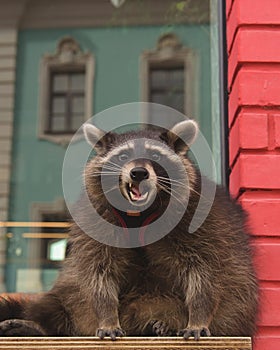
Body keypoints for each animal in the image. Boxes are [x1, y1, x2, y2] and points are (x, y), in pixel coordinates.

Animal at [0, 119, 258, 340]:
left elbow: (205, 273)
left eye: (155, 155)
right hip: (70, 293)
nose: (139, 173)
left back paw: (164, 326)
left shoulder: (201, 221)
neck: (140, 215)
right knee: (56, 301)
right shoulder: (96, 221)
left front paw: (198, 316)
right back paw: (40, 325)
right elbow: (98, 272)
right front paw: (107, 316)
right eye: (123, 155)